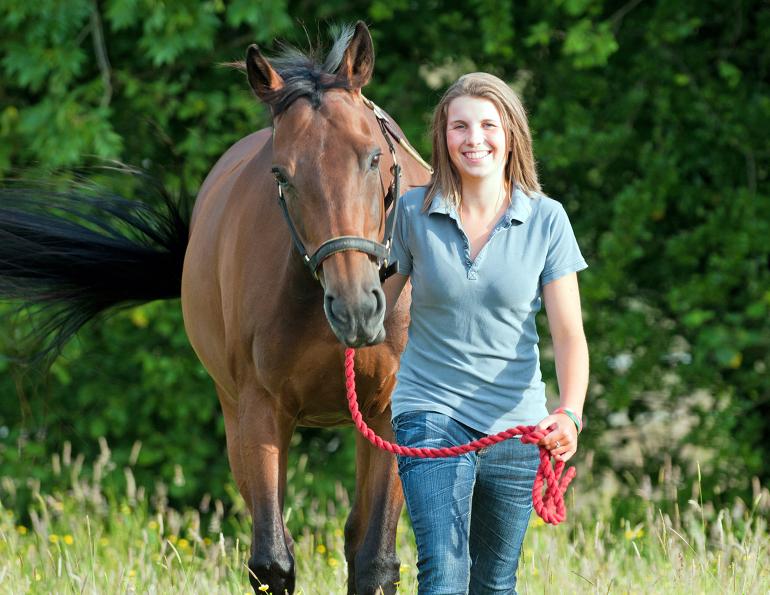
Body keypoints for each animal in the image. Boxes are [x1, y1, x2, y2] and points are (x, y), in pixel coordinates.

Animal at [0, 21, 431, 594]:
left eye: (374, 157)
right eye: (282, 174)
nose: (355, 309)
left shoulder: (388, 414)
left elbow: (375, 562)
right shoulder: (259, 409)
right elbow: (273, 560)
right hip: (237, 419)